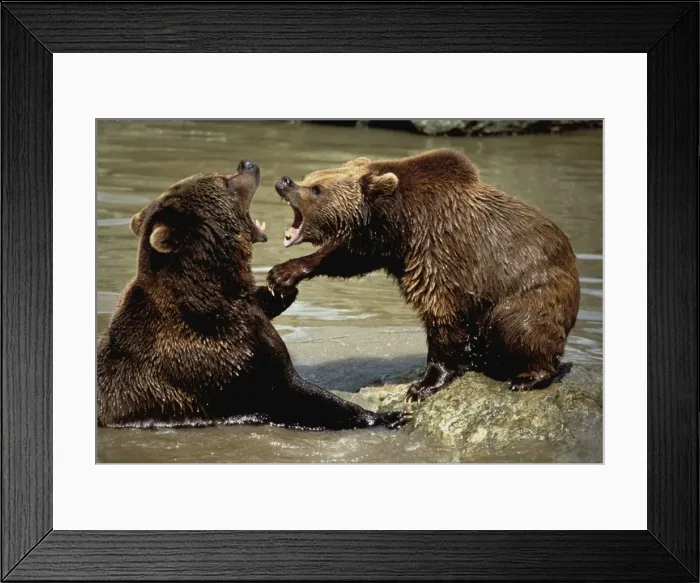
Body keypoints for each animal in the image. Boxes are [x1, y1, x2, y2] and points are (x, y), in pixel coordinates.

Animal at [97, 159, 410, 430]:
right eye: (224, 181)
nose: (247, 163)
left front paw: (281, 286)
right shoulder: (227, 359)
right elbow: (294, 395)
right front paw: (387, 415)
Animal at [268, 148, 580, 402]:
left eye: (316, 189)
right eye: (310, 177)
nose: (284, 182)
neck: (401, 219)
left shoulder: (439, 248)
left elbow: (442, 313)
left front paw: (423, 386)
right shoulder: (386, 243)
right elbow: (347, 257)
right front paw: (282, 273)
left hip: (532, 289)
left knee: (517, 324)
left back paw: (527, 377)